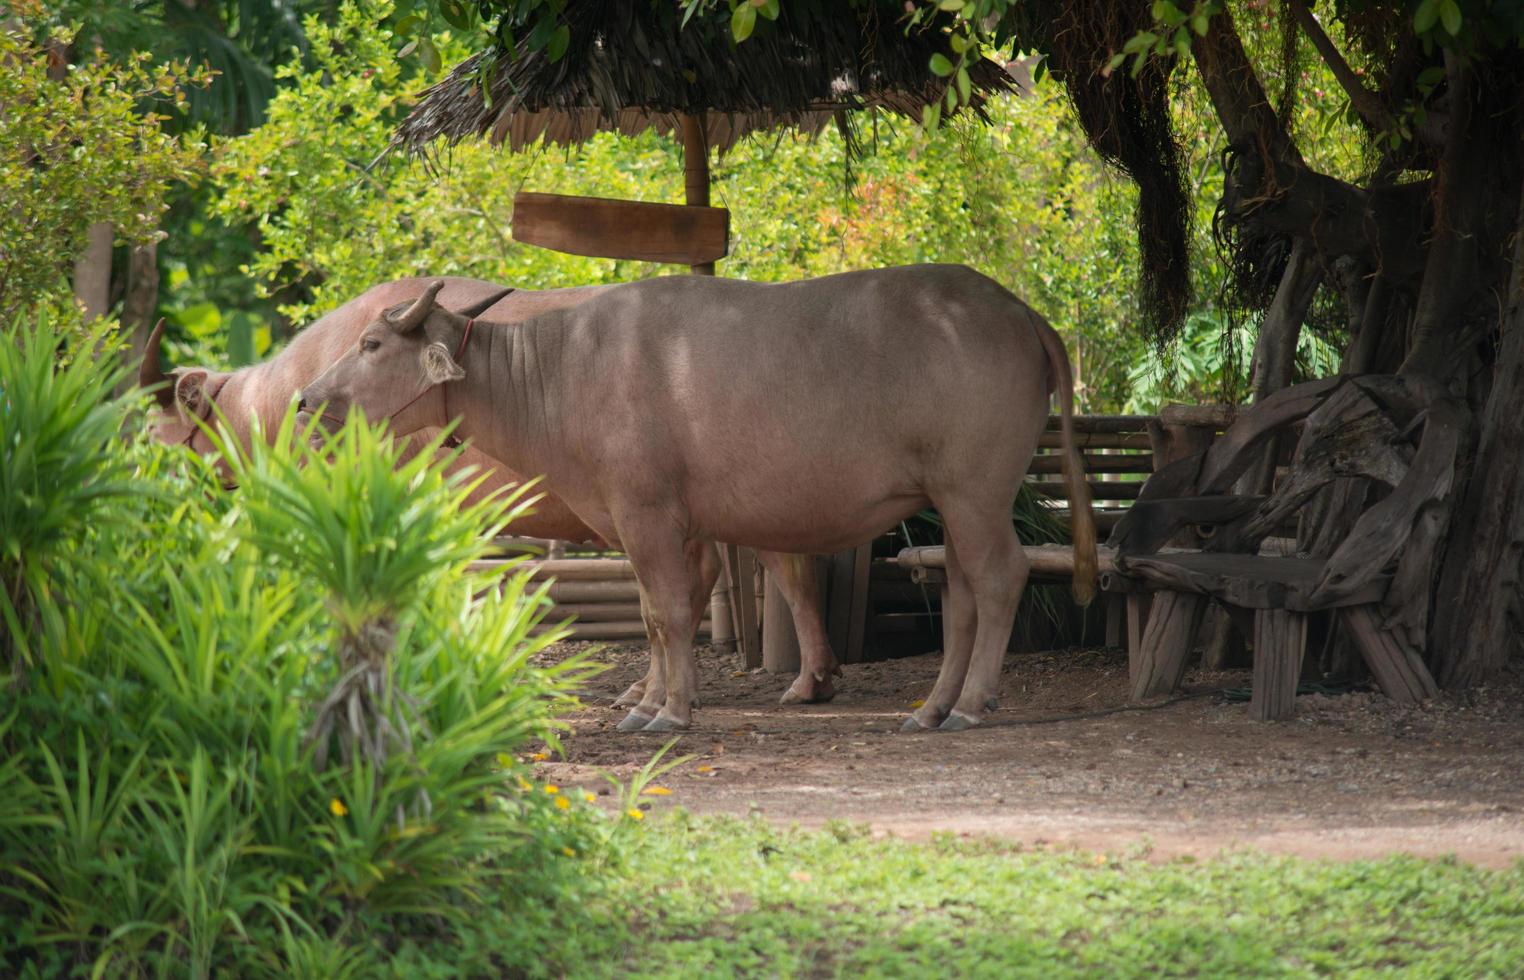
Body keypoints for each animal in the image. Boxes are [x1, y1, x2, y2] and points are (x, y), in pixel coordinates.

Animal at [297, 265, 1103, 731]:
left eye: (370, 345)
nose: (306, 398)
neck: (564, 371)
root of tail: (1020, 313)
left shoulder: (647, 513)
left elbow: (669, 613)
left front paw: (670, 712)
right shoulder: (653, 522)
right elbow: (657, 619)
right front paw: (652, 701)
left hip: (976, 490)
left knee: (1000, 578)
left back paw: (967, 704)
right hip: (955, 497)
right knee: (963, 590)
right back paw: (931, 707)